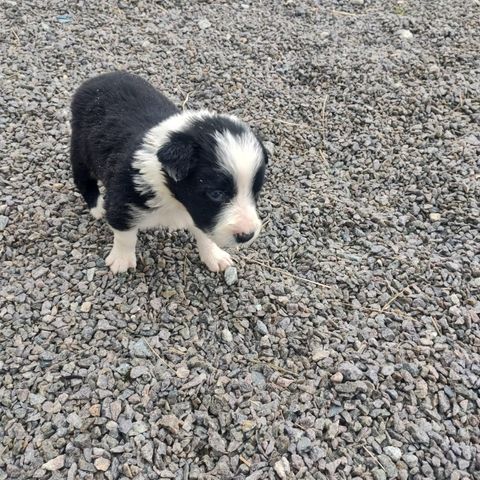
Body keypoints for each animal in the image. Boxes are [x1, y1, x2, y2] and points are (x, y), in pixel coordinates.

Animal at [70, 71, 268, 274]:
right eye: (216, 194)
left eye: (256, 191)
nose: (247, 236)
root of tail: (98, 78)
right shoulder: (122, 199)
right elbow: (125, 234)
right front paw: (121, 260)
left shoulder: (199, 214)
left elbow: (204, 233)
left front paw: (214, 256)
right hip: (81, 149)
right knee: (83, 179)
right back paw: (97, 207)